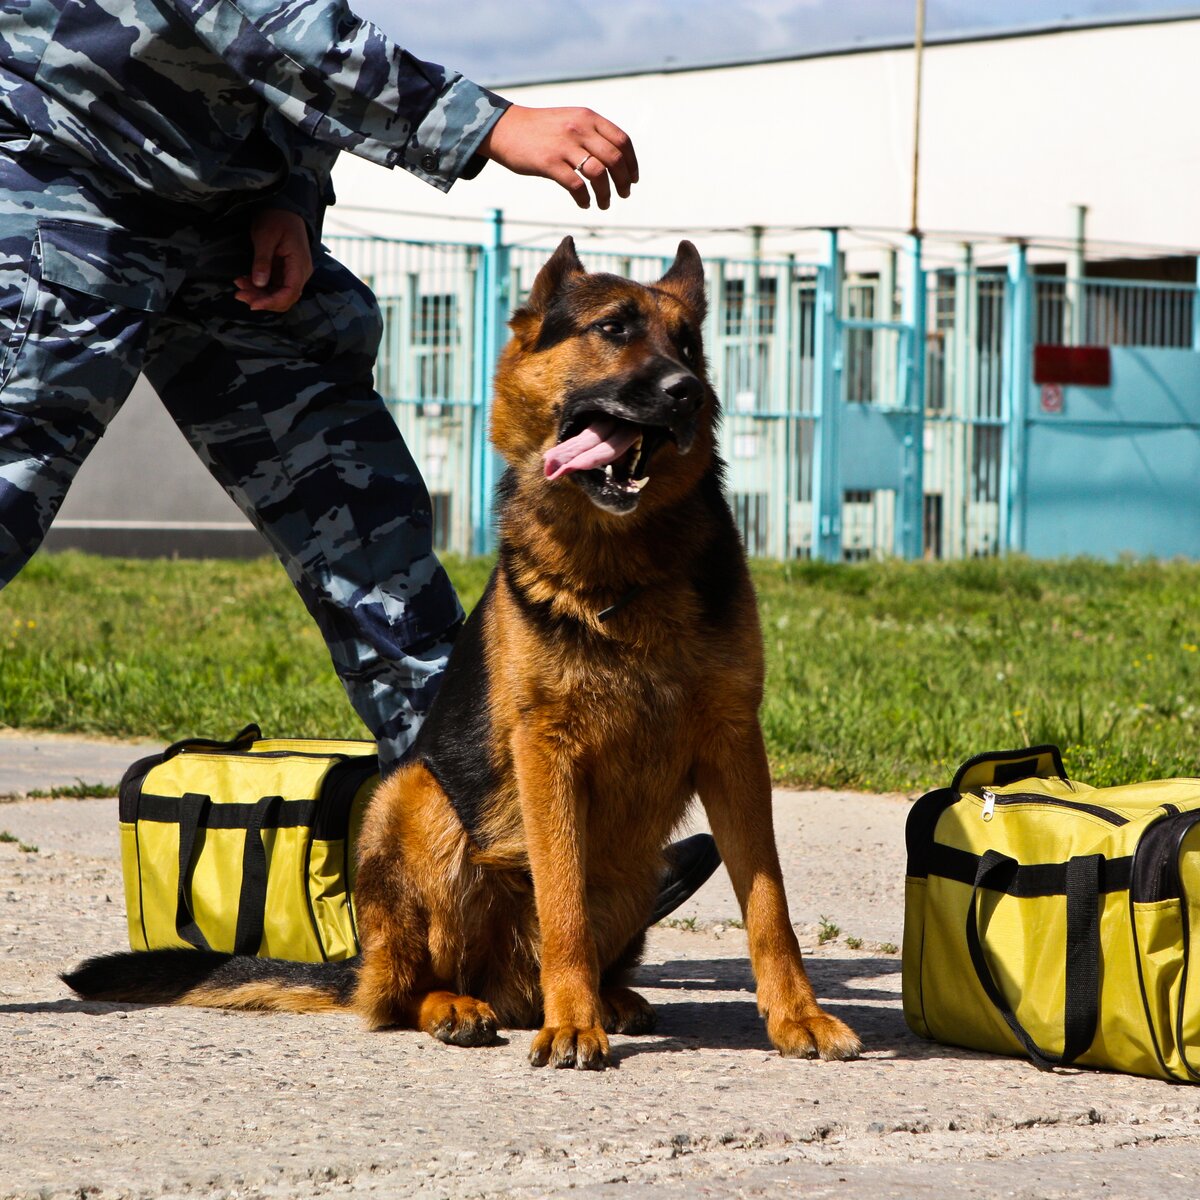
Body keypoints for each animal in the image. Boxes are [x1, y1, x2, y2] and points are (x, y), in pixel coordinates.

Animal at [65, 241, 859, 1070]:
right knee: (398, 994)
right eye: (613, 329)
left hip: (631, 872)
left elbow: (769, 902)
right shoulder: (549, 753)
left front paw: (795, 1015)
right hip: (412, 802)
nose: (687, 394)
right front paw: (572, 1024)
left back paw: (606, 997)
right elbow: (563, 904)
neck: (622, 567)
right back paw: (461, 1004)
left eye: (689, 344)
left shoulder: (734, 744)